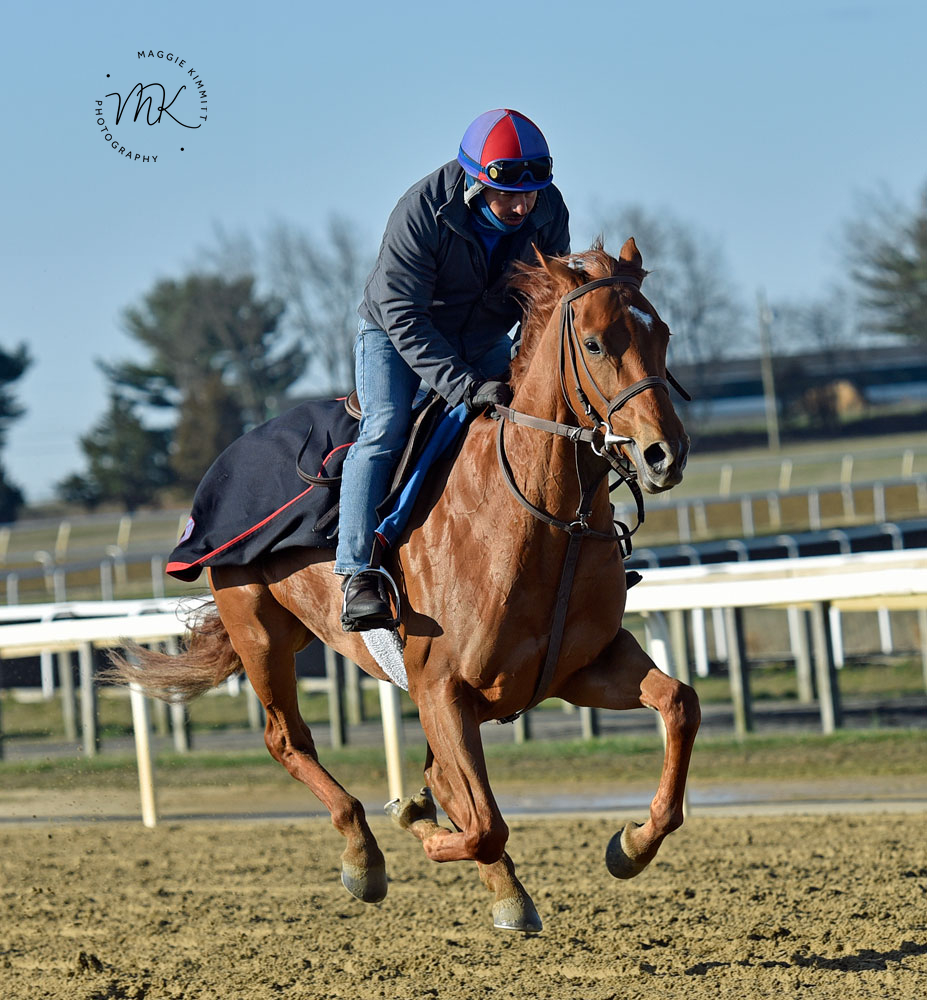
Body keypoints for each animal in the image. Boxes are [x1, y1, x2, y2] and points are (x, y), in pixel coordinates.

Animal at [112, 240, 700, 928]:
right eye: (596, 343)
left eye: (662, 333)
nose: (665, 454)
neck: (539, 522)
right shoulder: (440, 686)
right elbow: (482, 824)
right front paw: (413, 822)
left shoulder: (580, 667)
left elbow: (679, 703)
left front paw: (630, 845)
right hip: (258, 631)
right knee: (287, 739)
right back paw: (363, 855)